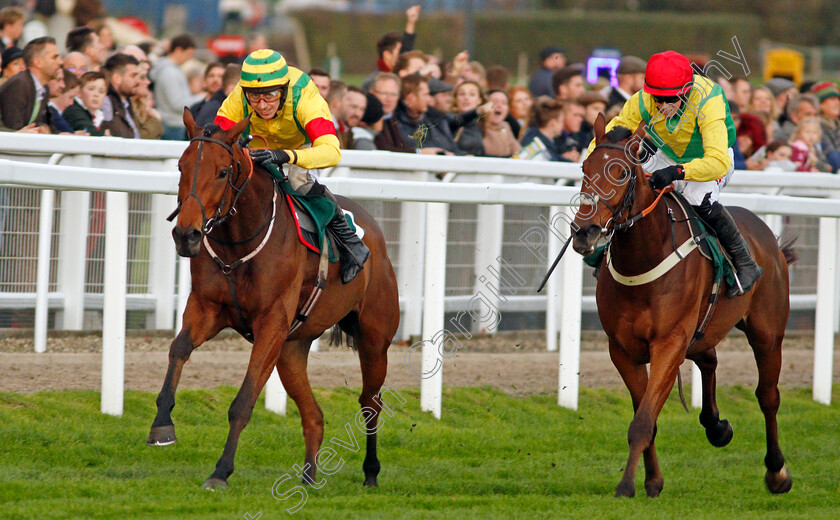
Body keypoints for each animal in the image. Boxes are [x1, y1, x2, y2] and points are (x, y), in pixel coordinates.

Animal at [145, 107, 400, 490]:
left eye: (222, 172)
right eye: (181, 166)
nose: (186, 235)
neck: (239, 243)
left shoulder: (271, 323)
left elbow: (244, 400)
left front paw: (221, 471)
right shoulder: (207, 308)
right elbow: (179, 348)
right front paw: (162, 424)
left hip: (374, 338)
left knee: (370, 401)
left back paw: (371, 472)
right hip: (292, 350)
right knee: (314, 415)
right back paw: (308, 476)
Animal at [572, 115, 796, 500]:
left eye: (622, 173)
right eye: (585, 168)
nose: (584, 232)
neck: (643, 258)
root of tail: (768, 236)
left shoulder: (669, 342)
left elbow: (643, 420)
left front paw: (627, 485)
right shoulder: (623, 350)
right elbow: (646, 416)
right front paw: (652, 481)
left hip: (767, 333)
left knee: (768, 396)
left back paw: (776, 471)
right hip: (703, 327)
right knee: (709, 359)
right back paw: (717, 426)